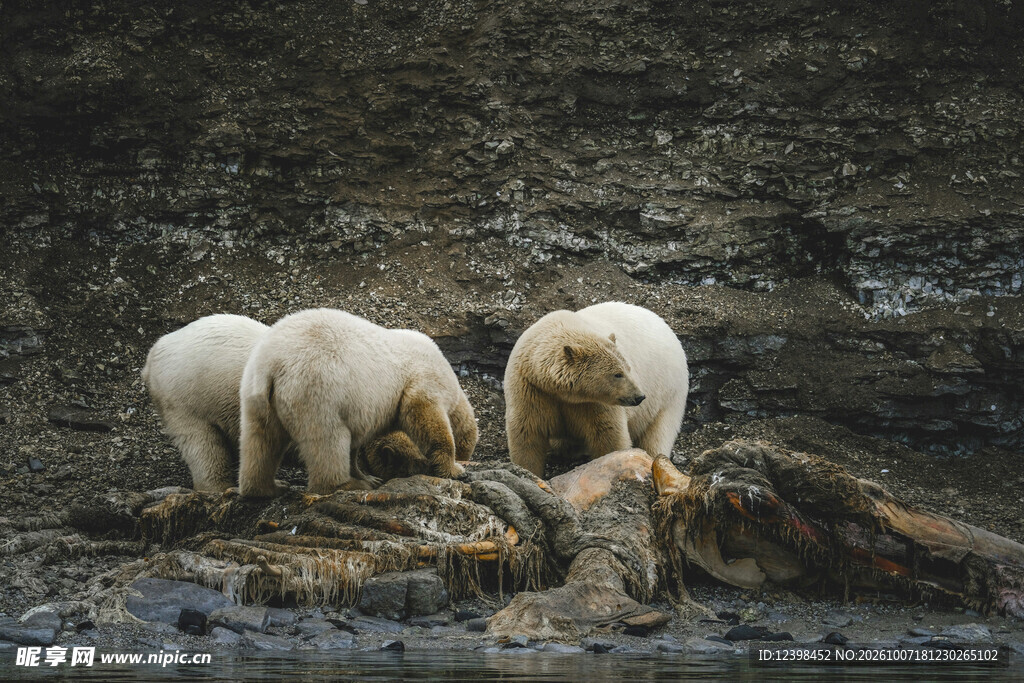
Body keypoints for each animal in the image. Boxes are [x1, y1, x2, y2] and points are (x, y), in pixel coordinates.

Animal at [143, 314, 429, 492]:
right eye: (418, 464)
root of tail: (153, 353)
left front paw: (368, 476)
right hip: (186, 393)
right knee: (201, 442)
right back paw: (220, 485)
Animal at [238, 308, 477, 497]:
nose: (465, 461)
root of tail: (273, 363)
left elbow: (355, 443)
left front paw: (369, 476)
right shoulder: (425, 379)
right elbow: (425, 415)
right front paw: (454, 468)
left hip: (256, 394)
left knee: (260, 439)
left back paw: (267, 487)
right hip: (317, 389)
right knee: (327, 440)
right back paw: (344, 485)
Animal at [504, 301, 688, 478]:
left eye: (628, 369)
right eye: (618, 374)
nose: (639, 396)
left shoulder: (593, 403)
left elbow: (607, 434)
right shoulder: (532, 390)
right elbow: (527, 434)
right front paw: (528, 471)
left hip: (668, 392)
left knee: (658, 433)